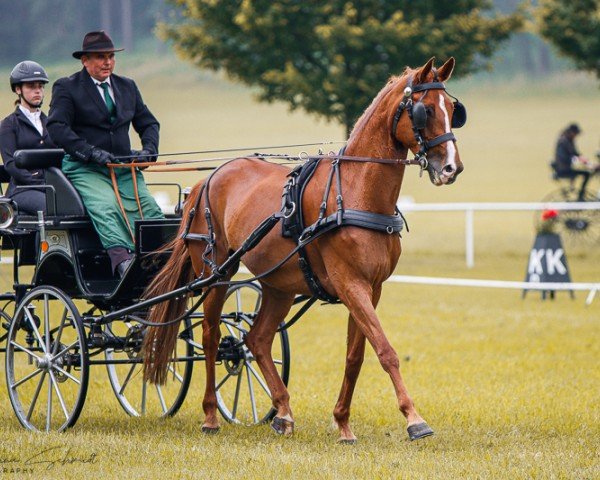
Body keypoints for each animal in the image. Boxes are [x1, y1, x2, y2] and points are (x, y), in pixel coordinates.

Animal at [144, 57, 464, 442]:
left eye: (453, 110)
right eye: (425, 110)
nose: (452, 168)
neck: (354, 193)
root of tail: (208, 178)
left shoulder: (371, 289)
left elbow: (356, 356)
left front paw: (342, 422)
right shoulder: (350, 284)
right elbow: (385, 350)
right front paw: (415, 419)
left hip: (278, 284)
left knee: (257, 339)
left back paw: (282, 412)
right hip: (216, 274)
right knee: (210, 336)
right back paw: (210, 415)